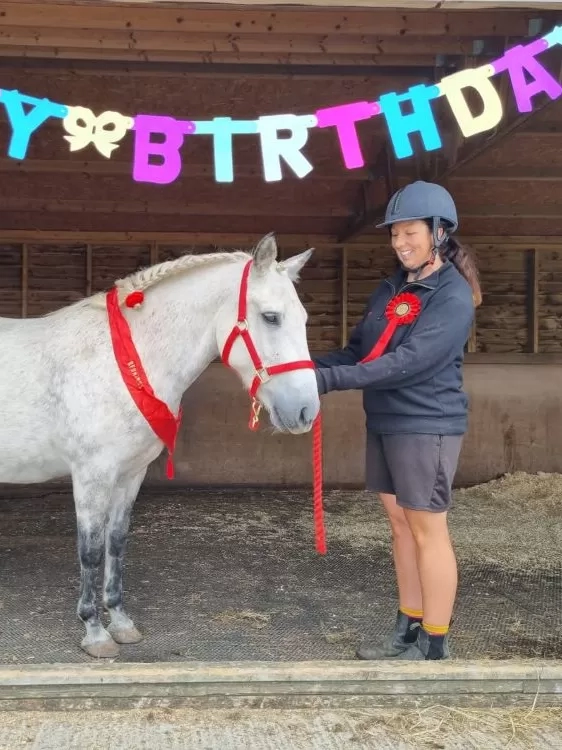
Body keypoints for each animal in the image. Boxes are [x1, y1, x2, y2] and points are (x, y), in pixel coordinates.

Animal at [0, 235, 316, 656]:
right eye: (271, 317)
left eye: (304, 319)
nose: (306, 410)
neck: (119, 361)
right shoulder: (92, 475)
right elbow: (91, 549)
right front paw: (94, 632)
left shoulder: (130, 474)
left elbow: (116, 542)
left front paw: (120, 622)